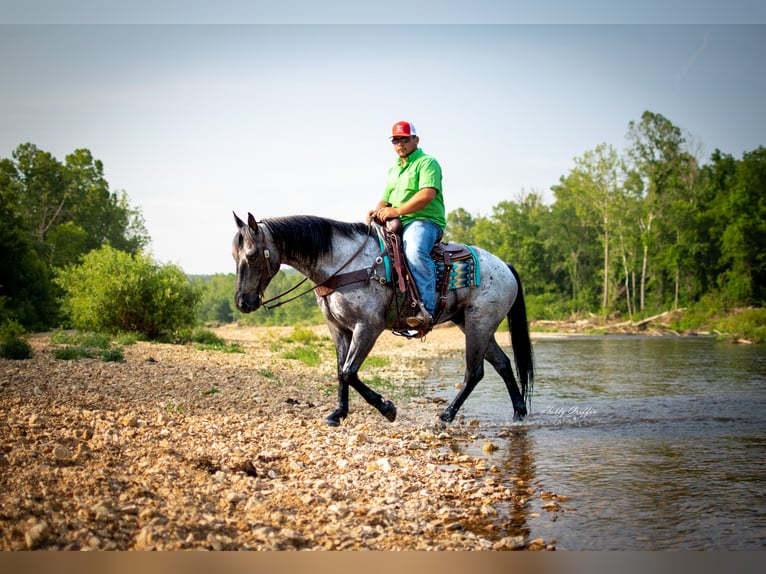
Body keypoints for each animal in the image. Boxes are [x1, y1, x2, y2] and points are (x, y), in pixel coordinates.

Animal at [231, 213, 536, 428]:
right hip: (472, 323)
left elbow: (349, 371)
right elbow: (340, 370)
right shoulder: (338, 329)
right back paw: (519, 414)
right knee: (502, 364)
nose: (243, 302)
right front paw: (338, 414)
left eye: (253, 255)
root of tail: (505, 266)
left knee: (475, 372)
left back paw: (446, 416)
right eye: (234, 255)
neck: (343, 264)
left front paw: (387, 409)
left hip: (478, 323)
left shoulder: (368, 327)